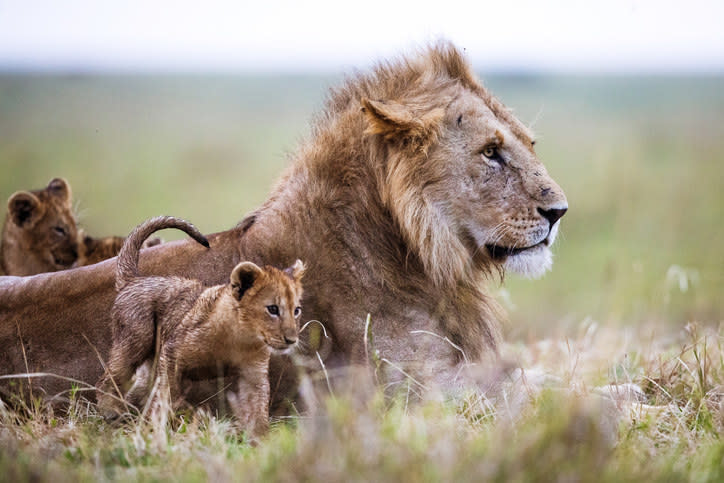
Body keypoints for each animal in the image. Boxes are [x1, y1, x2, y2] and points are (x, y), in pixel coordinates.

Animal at [0, 43, 564, 408]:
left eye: (529, 144)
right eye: (490, 152)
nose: (559, 212)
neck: (417, 255)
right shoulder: (415, 395)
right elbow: (543, 394)